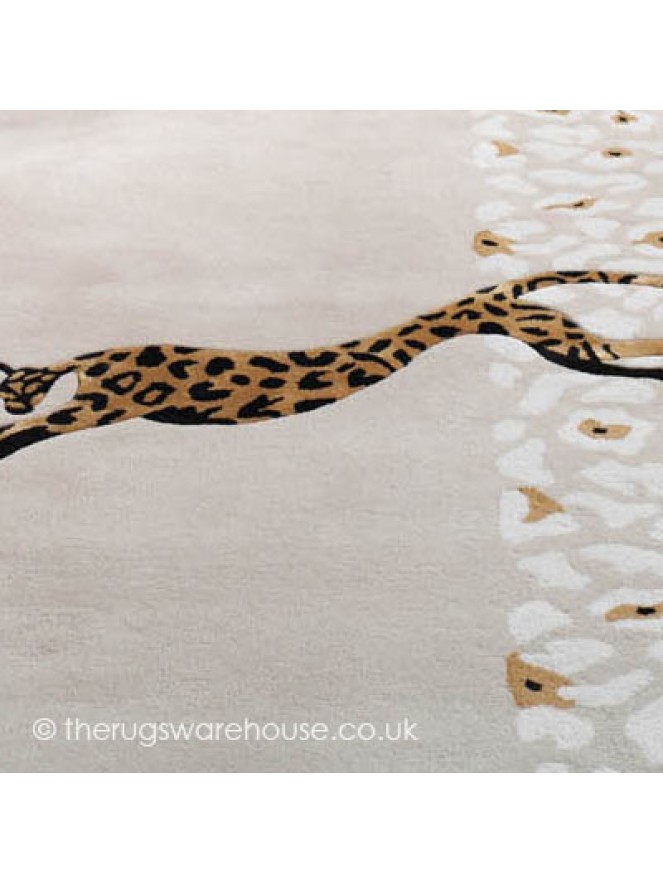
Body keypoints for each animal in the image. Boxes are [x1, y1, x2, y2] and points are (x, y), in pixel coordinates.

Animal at [2, 268, 663, 462]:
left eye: (11, 393)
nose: (7, 398)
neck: (78, 364)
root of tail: (488, 294)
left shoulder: (99, 405)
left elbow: (28, 429)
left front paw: (7, 434)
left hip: (559, 340)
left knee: (627, 350)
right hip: (551, 335)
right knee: (621, 348)